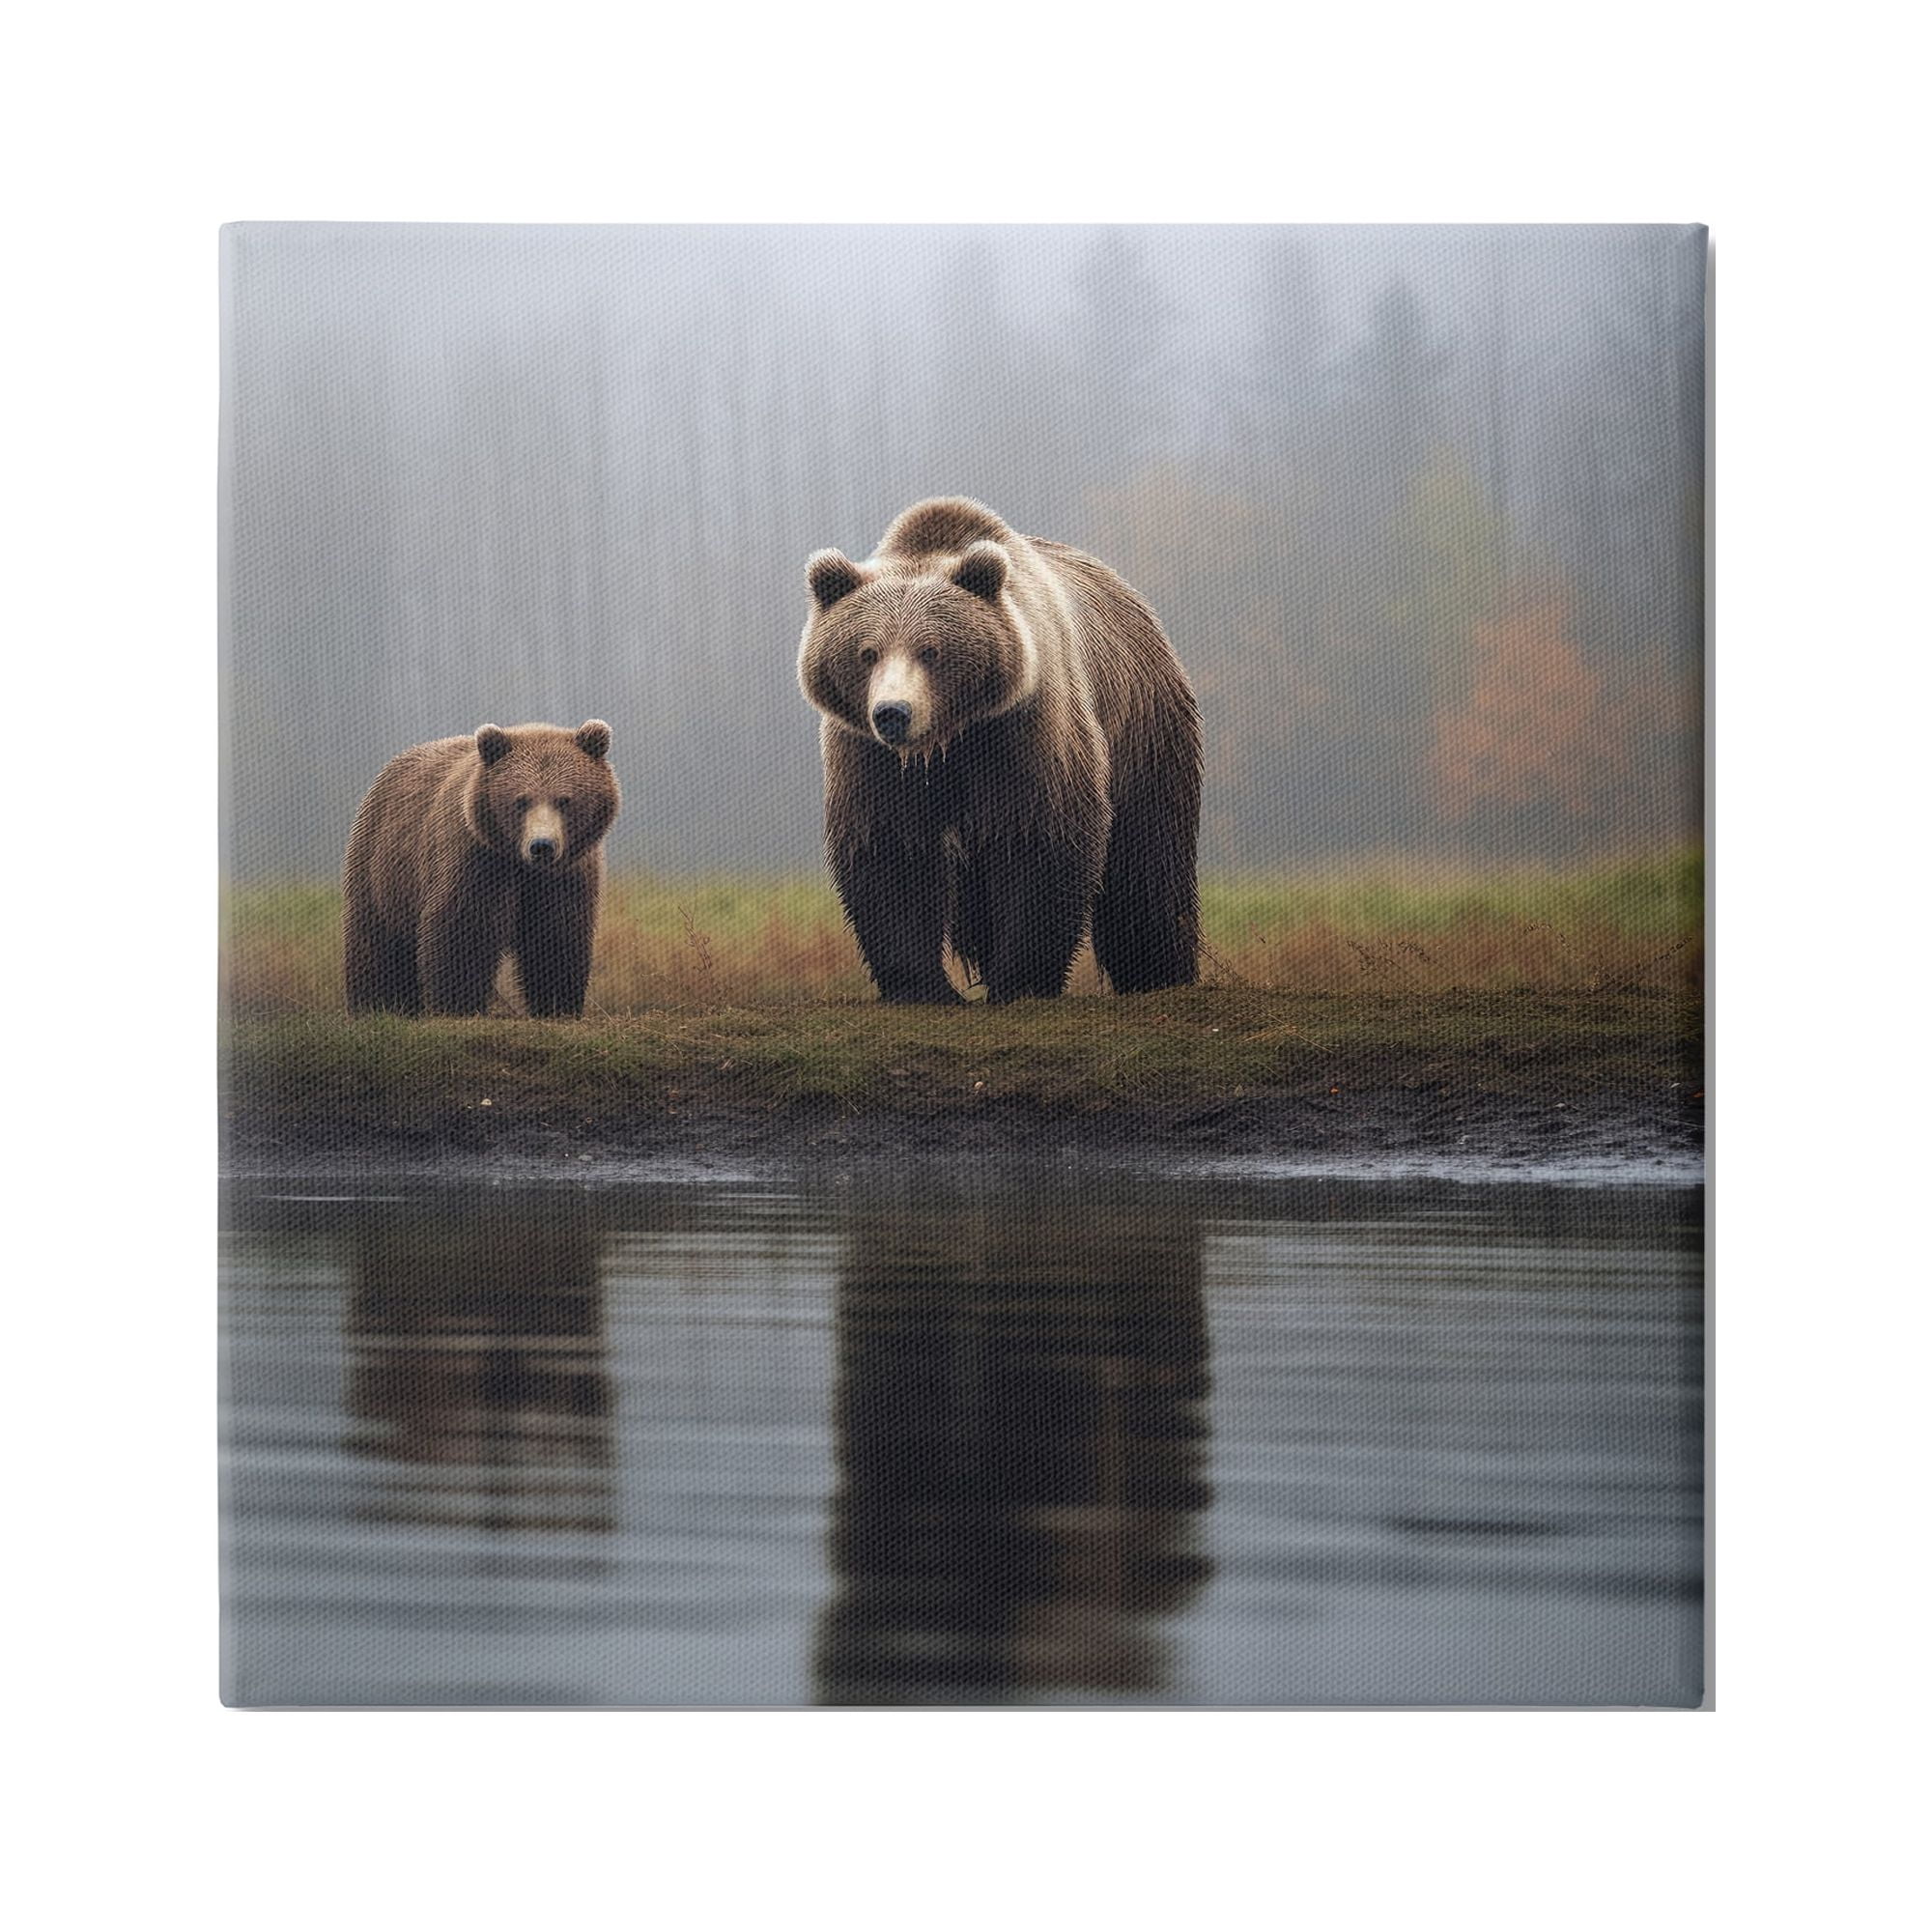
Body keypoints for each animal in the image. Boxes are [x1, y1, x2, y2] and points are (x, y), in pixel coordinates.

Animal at [342, 720, 619, 1017]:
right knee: (376, 946)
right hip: (381, 871)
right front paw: (458, 1004)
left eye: (564, 799)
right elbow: (462, 930)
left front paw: (557, 1004)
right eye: (521, 800)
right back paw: (376, 1005)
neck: (519, 864)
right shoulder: (477, 863)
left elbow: (556, 935)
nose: (542, 845)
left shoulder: (563, 876)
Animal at [797, 497, 1201, 1004]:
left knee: (1148, 860)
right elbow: (890, 846)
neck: (949, 739)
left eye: (931, 650)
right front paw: (922, 986)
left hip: (1144, 727)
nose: (893, 712)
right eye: (867, 652)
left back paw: (1158, 973)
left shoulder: (1022, 730)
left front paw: (1021, 979)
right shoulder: (871, 756)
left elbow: (1038, 835)